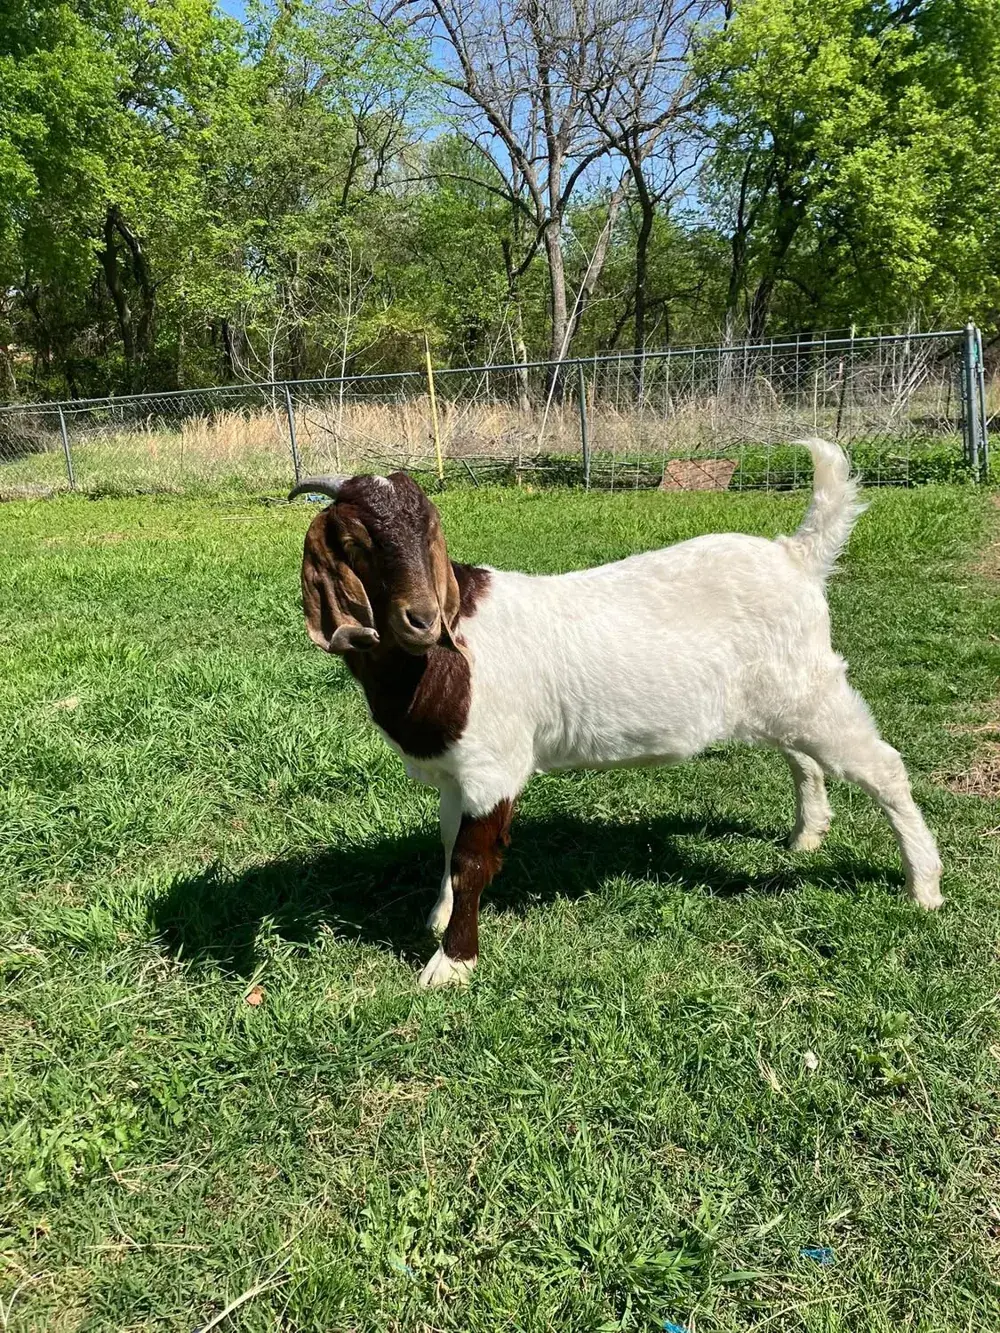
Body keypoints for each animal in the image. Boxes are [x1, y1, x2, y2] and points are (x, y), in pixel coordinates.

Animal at [290, 439, 942, 988]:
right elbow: (448, 844)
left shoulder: (492, 766)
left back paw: (924, 886)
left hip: (813, 689)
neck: (442, 657)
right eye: (354, 543)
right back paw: (807, 836)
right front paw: (437, 917)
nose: (422, 619)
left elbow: (472, 860)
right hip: (777, 696)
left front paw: (451, 964)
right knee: (802, 759)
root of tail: (796, 556)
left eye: (428, 532)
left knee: (883, 767)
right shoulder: (456, 771)